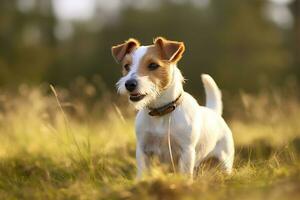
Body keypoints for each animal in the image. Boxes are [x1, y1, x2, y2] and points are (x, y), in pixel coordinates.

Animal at [110, 36, 234, 179]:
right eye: (126, 66)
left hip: (224, 163)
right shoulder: (142, 150)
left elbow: (185, 175)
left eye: (153, 65)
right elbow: (142, 173)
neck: (161, 111)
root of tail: (214, 112)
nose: (129, 84)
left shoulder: (186, 152)